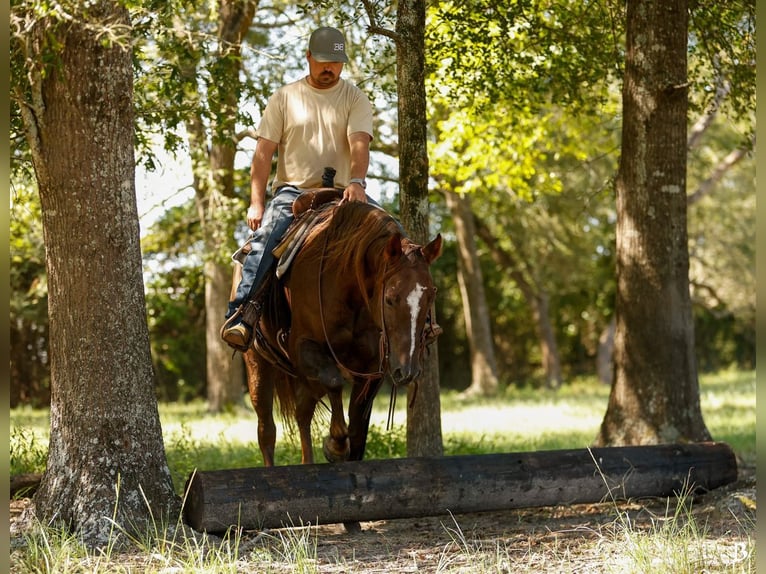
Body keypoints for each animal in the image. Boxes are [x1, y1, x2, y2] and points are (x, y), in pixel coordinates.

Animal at [243, 199, 443, 467]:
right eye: (389, 299)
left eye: (430, 296)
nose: (407, 371)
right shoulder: (303, 347)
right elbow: (334, 381)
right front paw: (336, 447)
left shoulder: (372, 368)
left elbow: (357, 430)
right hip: (258, 366)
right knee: (267, 430)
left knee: (303, 413)